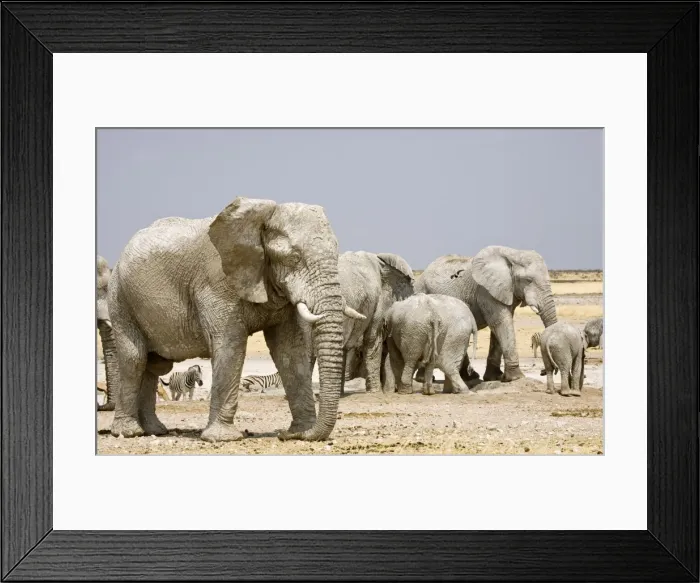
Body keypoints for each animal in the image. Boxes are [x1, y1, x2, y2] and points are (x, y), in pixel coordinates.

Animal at [107, 196, 360, 442]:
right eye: (294, 258)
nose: (284, 435)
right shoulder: (216, 282)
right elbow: (231, 344)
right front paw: (223, 438)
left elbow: (289, 350)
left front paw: (301, 432)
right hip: (120, 299)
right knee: (134, 359)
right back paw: (129, 432)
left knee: (154, 366)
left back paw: (155, 430)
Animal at [414, 246, 558, 383]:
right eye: (528, 280)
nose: (543, 372)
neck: (513, 253)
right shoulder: (485, 291)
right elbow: (501, 322)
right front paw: (516, 378)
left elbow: (499, 326)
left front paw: (495, 377)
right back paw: (425, 379)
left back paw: (469, 377)